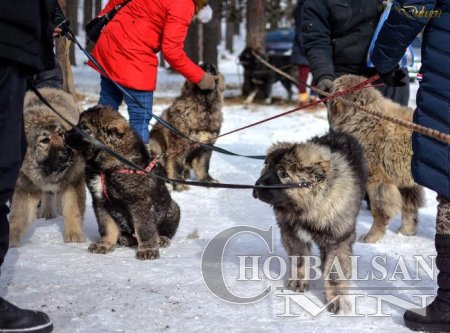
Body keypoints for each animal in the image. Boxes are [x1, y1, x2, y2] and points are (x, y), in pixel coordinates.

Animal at [149, 62, 224, 191]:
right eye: (200, 67)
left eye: (214, 69)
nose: (209, 66)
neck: (204, 107)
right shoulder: (179, 145)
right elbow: (177, 165)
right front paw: (179, 184)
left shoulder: (206, 146)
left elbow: (204, 165)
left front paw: (207, 180)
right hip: (155, 143)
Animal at [253, 131, 366, 312]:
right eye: (267, 167)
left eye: (284, 174)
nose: (257, 187)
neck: (308, 208)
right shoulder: (292, 233)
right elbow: (299, 260)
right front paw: (298, 283)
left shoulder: (336, 240)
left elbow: (334, 274)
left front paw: (336, 300)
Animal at [328, 74, 424, 241]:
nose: (326, 89)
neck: (363, 117)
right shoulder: (406, 181)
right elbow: (409, 207)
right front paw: (407, 230)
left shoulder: (377, 179)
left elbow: (379, 210)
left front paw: (371, 236)